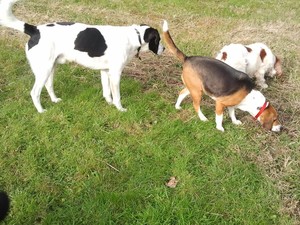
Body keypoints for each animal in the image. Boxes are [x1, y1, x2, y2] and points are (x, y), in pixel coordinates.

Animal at [0, 0, 164, 112]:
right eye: (158, 39)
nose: (163, 49)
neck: (134, 36)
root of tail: (35, 30)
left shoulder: (105, 71)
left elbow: (107, 92)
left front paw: (109, 103)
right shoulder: (116, 73)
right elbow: (116, 95)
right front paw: (120, 108)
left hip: (49, 69)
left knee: (48, 86)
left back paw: (54, 100)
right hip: (44, 70)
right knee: (35, 92)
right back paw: (41, 110)